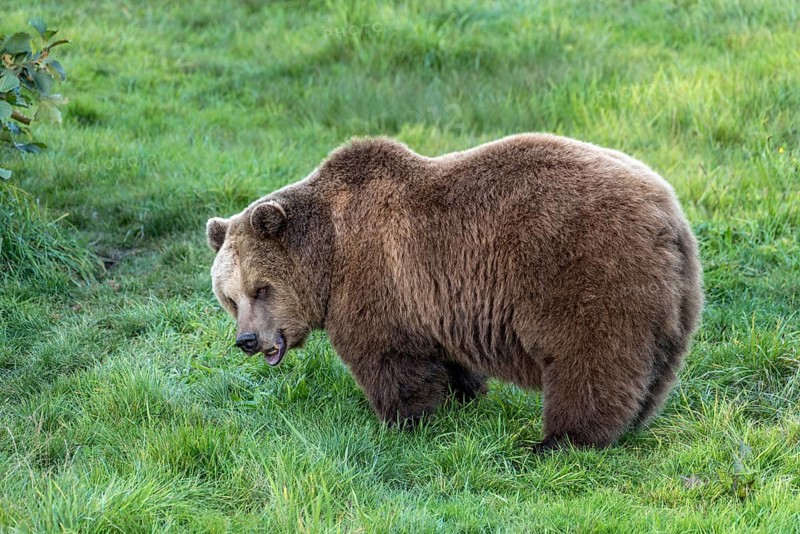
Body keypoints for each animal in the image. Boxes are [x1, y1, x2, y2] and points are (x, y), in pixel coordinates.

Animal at [206, 133, 703, 450]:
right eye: (229, 297)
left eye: (261, 288)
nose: (248, 340)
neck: (329, 253)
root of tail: (666, 212)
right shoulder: (436, 300)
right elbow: (450, 359)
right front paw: (464, 398)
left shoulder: (379, 278)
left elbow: (391, 360)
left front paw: (403, 422)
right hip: (672, 297)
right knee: (654, 366)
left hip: (585, 272)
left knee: (590, 360)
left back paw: (559, 441)